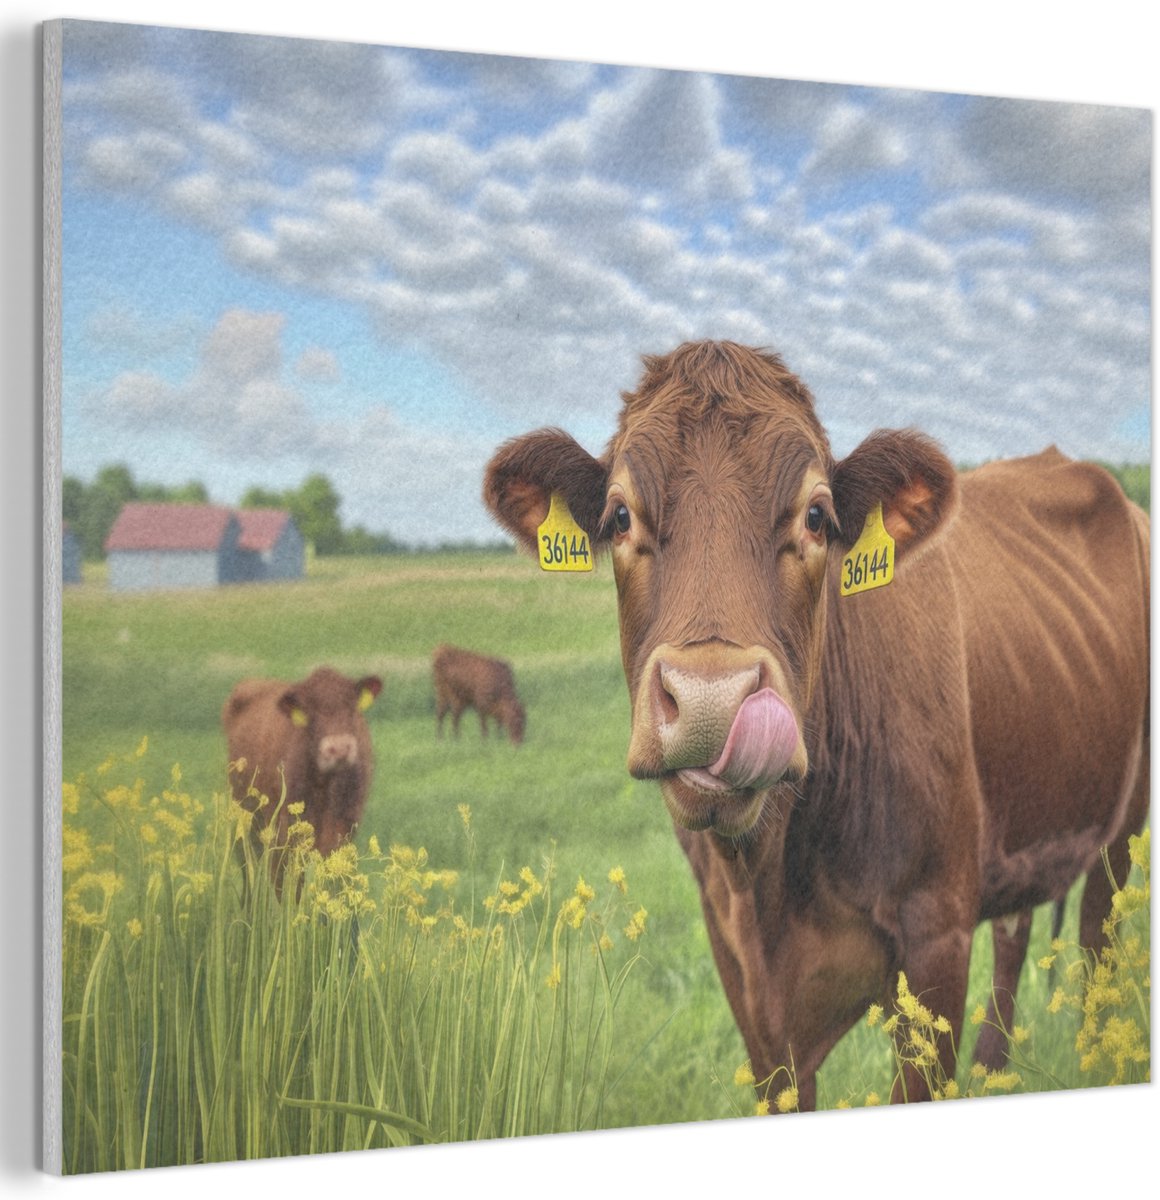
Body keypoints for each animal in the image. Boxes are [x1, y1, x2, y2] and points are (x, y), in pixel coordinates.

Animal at [483, 340, 1149, 1106]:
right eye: (619, 516)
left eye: (817, 517)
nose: (712, 701)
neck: (773, 877)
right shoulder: (741, 969)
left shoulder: (938, 935)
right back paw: (994, 1068)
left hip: (1121, 833)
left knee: (1098, 943)